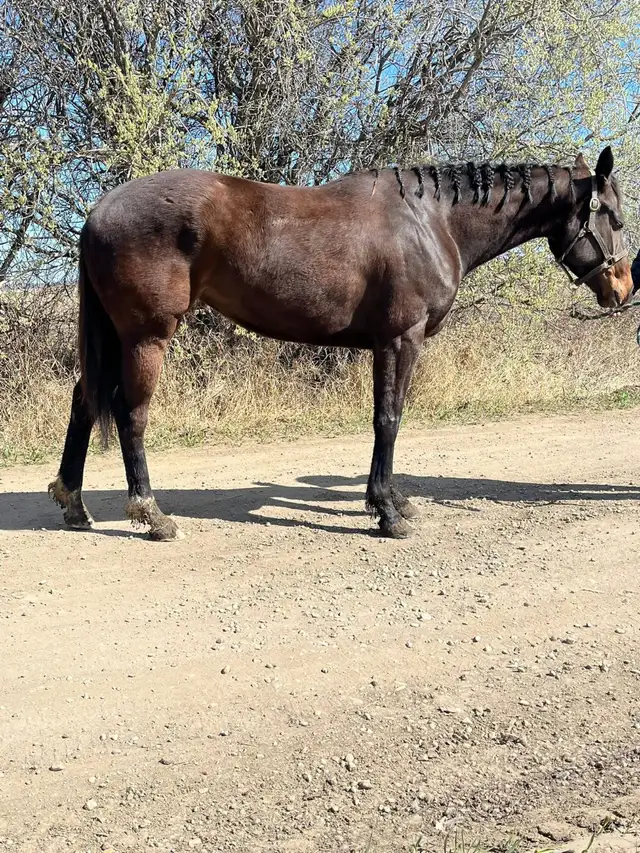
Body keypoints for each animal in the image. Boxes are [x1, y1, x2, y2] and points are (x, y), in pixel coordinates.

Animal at [48, 146, 632, 541]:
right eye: (614, 216)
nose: (624, 288)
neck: (431, 221)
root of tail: (98, 211)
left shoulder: (389, 344)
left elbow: (387, 418)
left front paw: (391, 501)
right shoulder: (400, 340)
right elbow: (388, 419)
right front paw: (387, 513)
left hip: (112, 337)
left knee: (84, 401)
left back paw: (74, 503)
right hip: (146, 336)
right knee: (131, 415)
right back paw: (151, 514)